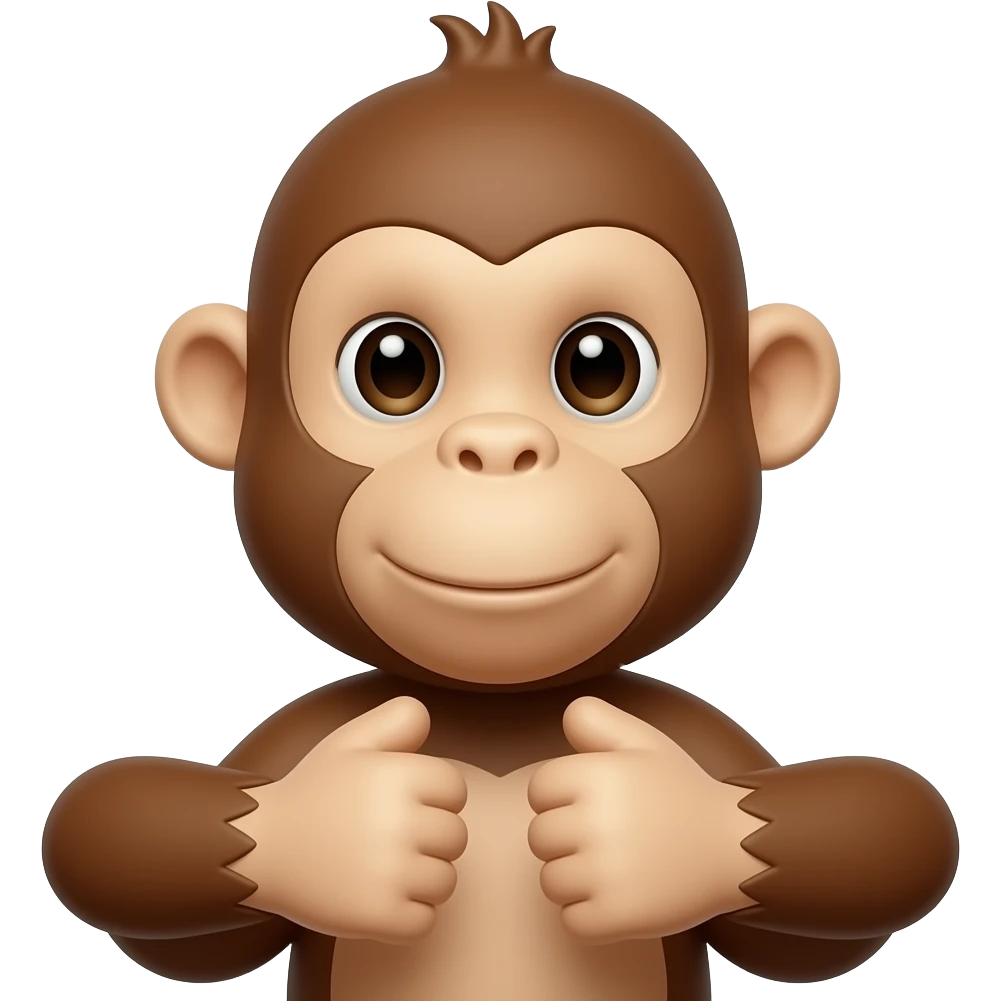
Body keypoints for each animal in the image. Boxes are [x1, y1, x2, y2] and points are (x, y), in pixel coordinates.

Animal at [42, 5, 957, 1000]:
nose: (496, 449)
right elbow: (123, 847)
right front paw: (348, 823)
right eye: (392, 366)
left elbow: (877, 844)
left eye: (600, 366)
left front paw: (645, 824)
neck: (496, 718)